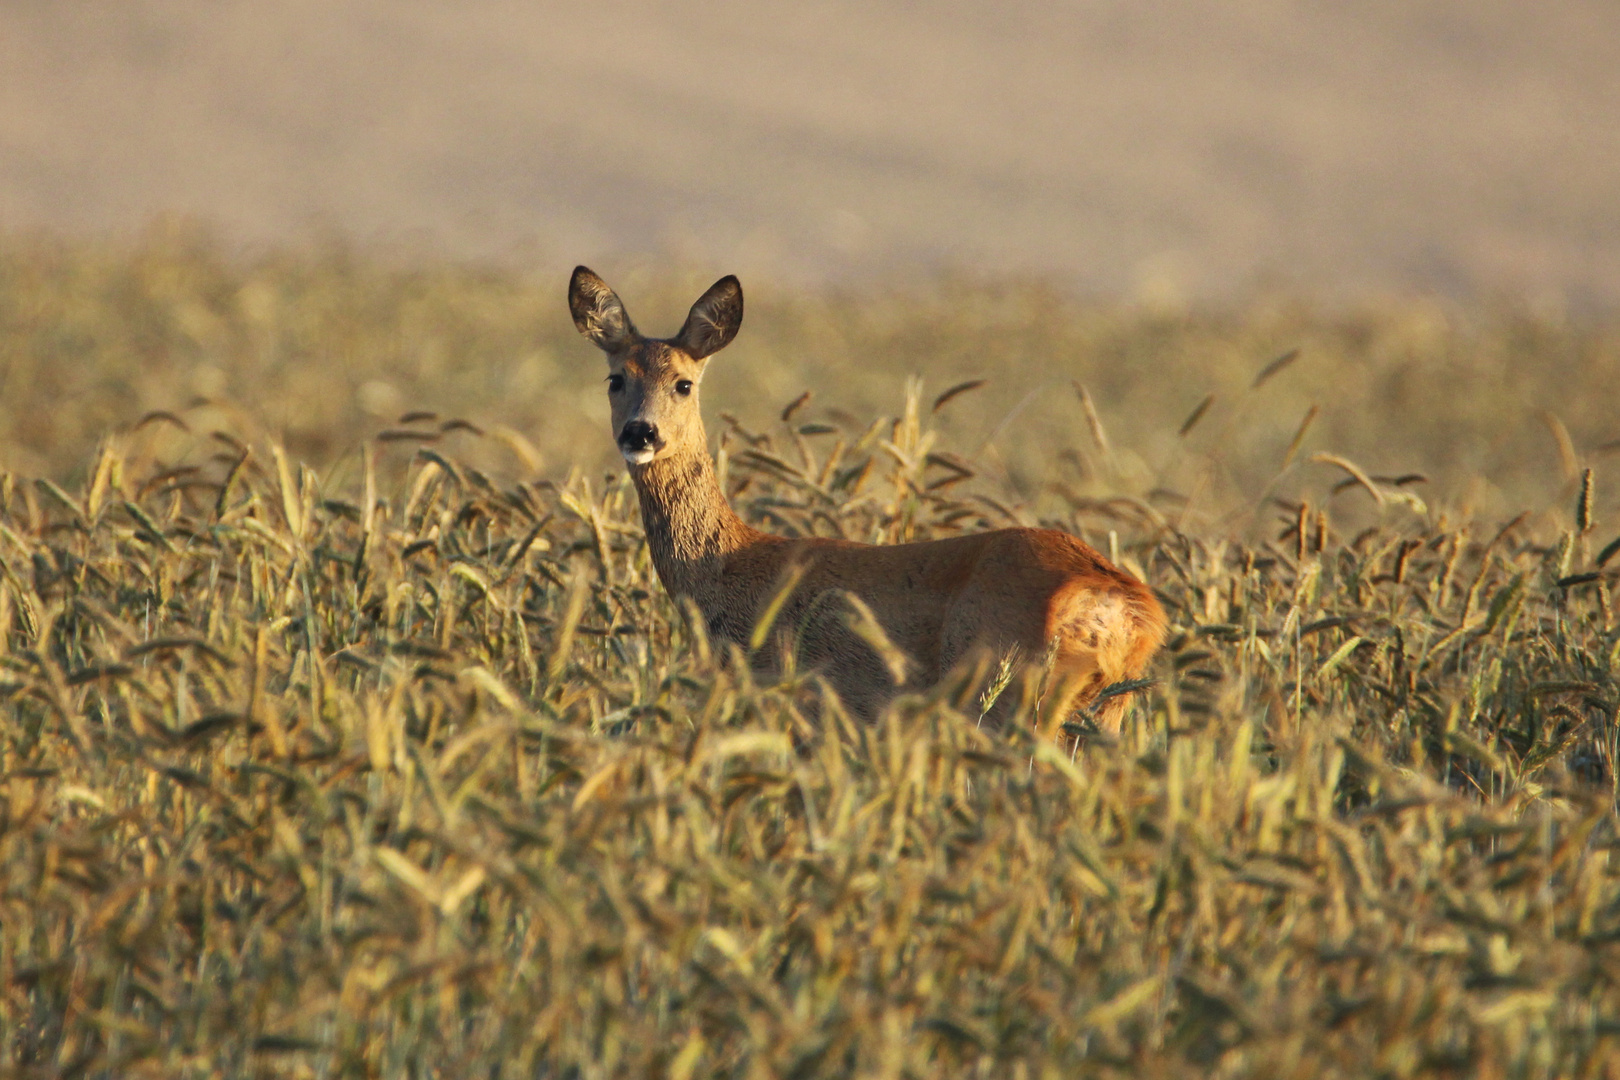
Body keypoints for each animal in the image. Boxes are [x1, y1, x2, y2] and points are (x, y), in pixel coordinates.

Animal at [570, 267, 1166, 738]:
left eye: (684, 383)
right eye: (615, 378)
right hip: (1099, 708)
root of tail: (1129, 604)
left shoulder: (794, 696)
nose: (640, 432)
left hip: (1008, 694)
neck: (727, 567)